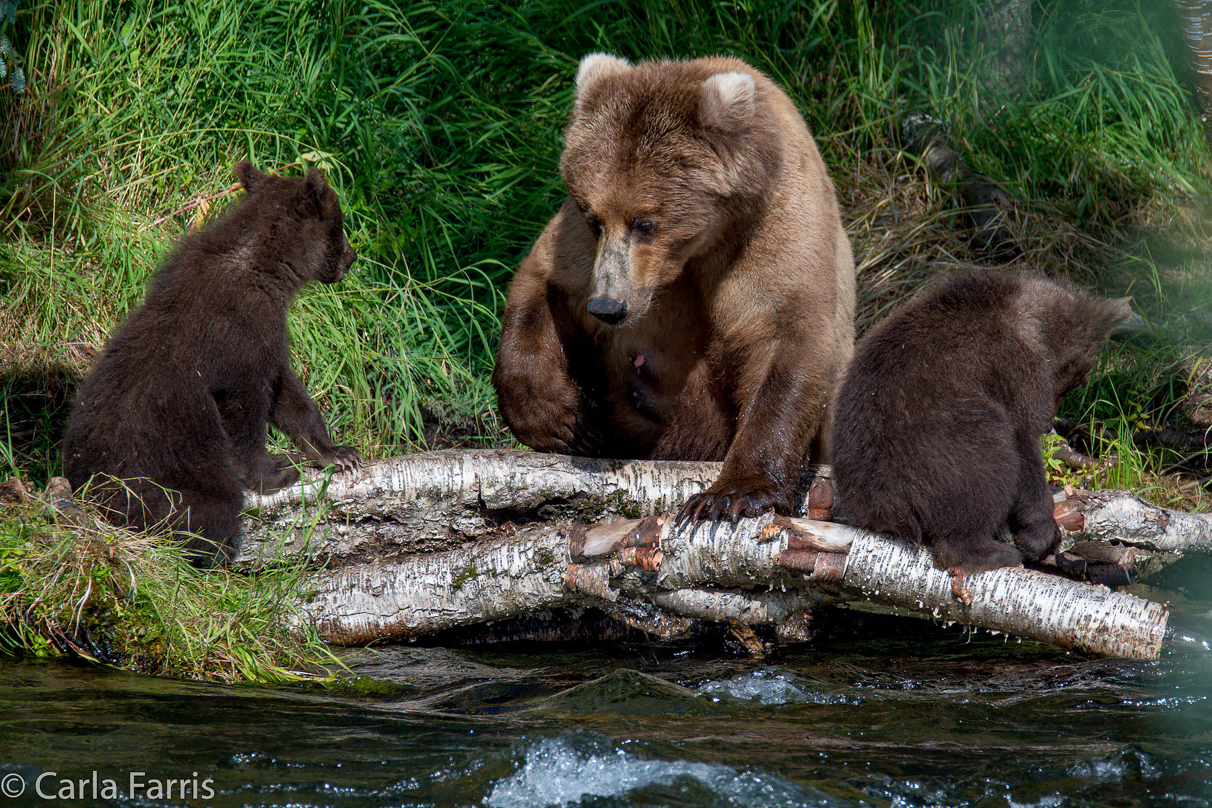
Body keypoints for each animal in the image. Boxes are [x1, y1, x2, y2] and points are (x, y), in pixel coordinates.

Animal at [63, 161, 358, 559]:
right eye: (339, 226)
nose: (352, 257)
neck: (268, 268)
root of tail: (86, 492)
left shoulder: (266, 334)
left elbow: (287, 395)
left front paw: (337, 453)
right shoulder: (242, 330)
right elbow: (246, 406)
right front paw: (277, 470)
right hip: (167, 476)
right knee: (209, 509)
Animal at [489, 53, 853, 520]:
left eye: (646, 222)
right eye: (594, 217)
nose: (608, 306)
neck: (700, 247)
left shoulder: (776, 233)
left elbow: (786, 339)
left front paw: (733, 492)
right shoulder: (580, 249)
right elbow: (543, 285)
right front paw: (564, 421)